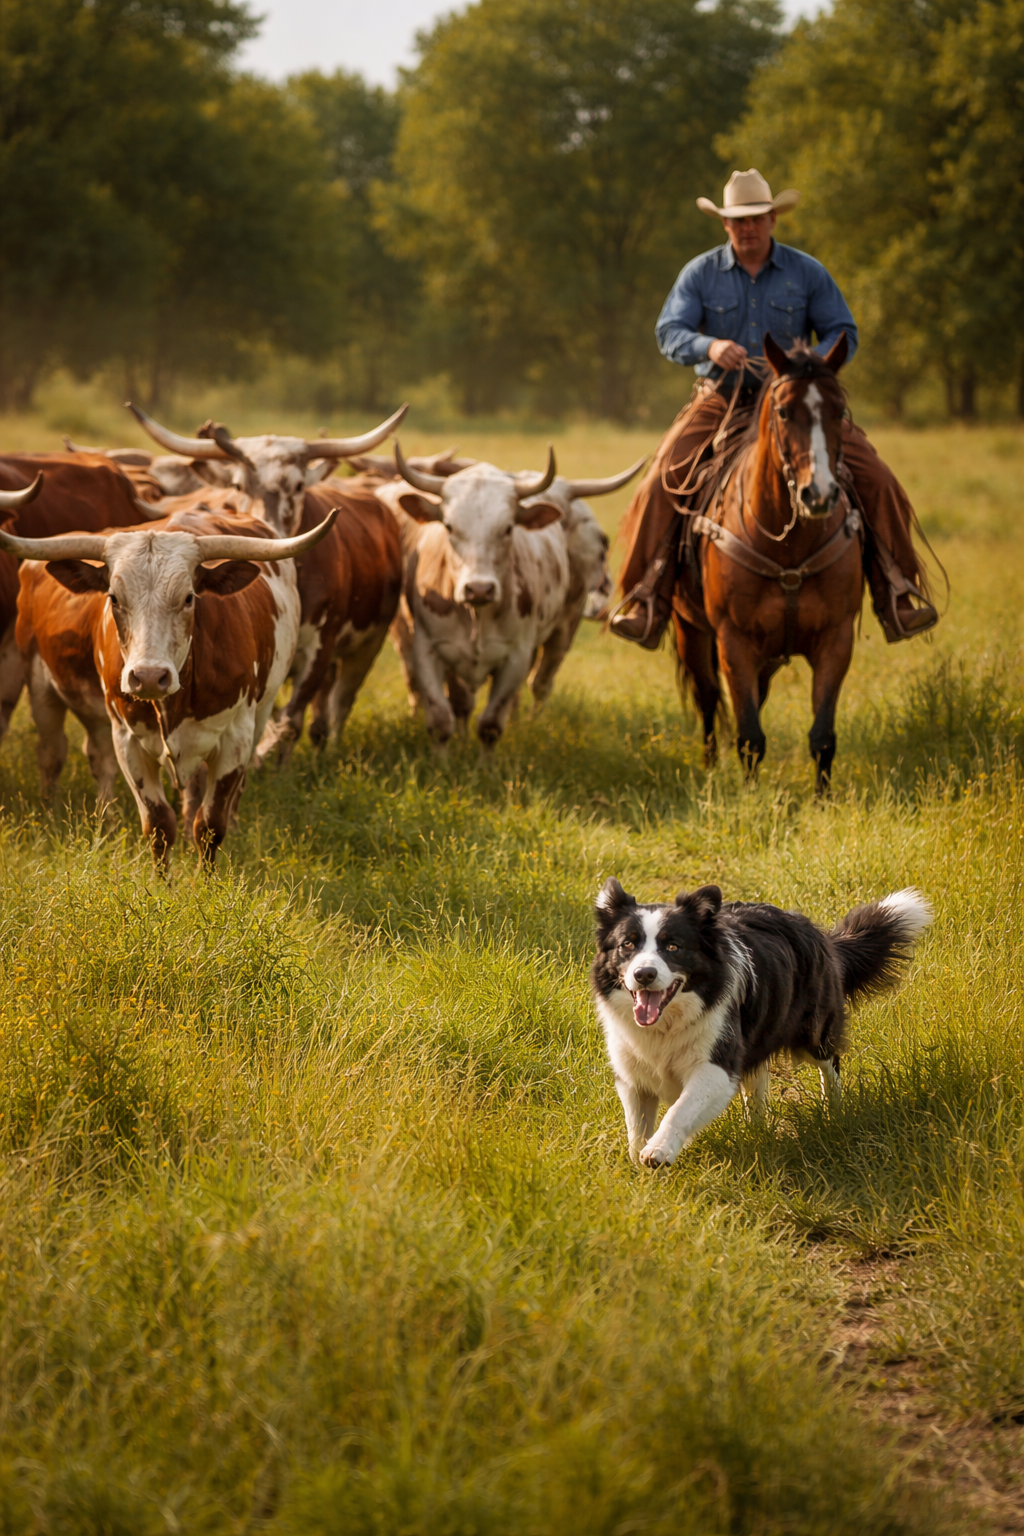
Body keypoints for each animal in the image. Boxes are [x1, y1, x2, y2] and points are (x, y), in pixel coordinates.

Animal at [5, 506, 337, 866]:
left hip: (260, 713)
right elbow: (159, 824)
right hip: (42, 689)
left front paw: (207, 878)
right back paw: (58, 815)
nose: (149, 676)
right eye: (113, 598)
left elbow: (210, 825)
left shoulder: (237, 735)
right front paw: (161, 878)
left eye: (189, 597)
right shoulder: (126, 739)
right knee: (57, 753)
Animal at [126, 405, 406, 762]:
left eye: (298, 486)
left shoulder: (319, 646)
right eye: (238, 485)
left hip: (367, 645)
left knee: (341, 701)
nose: (265, 528)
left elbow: (292, 717)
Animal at [375, 450, 644, 730]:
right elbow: (452, 701)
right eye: (448, 526)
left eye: (508, 528)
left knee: (540, 683)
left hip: (564, 627)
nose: (479, 589)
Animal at [672, 332, 863, 794]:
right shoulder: (734, 641)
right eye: (783, 410)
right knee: (708, 698)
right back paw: (709, 767)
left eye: (838, 410)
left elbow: (822, 735)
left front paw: (822, 800)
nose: (819, 494)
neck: (787, 546)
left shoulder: (836, 639)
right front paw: (750, 796)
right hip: (690, 630)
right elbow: (748, 735)